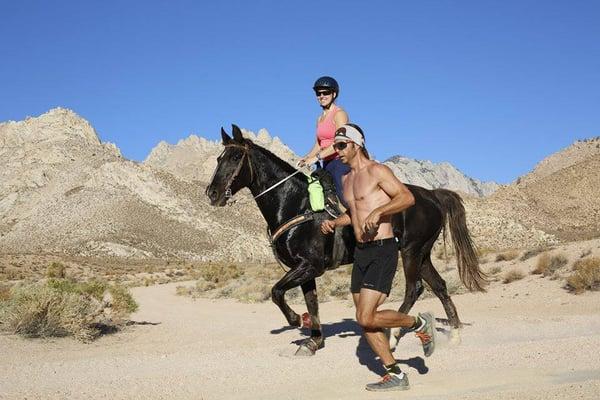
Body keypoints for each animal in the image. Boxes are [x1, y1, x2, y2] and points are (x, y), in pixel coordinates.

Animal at [206, 126, 488, 356]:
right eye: (219, 158)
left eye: (235, 158)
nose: (212, 193)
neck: (295, 204)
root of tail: (431, 195)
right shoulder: (305, 269)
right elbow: (311, 302)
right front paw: (314, 341)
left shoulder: (311, 265)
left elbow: (276, 292)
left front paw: (296, 319)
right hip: (423, 253)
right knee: (439, 286)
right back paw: (454, 334)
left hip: (411, 251)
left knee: (414, 288)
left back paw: (395, 337)